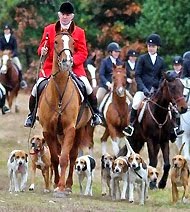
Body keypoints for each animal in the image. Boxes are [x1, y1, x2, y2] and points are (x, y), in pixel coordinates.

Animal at [37, 22, 92, 197]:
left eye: (73, 43)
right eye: (55, 42)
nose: (67, 62)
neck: (59, 91)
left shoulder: (70, 129)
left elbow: (64, 158)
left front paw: (61, 187)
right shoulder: (48, 131)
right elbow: (55, 158)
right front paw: (55, 184)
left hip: (79, 130)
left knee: (73, 156)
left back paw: (68, 185)